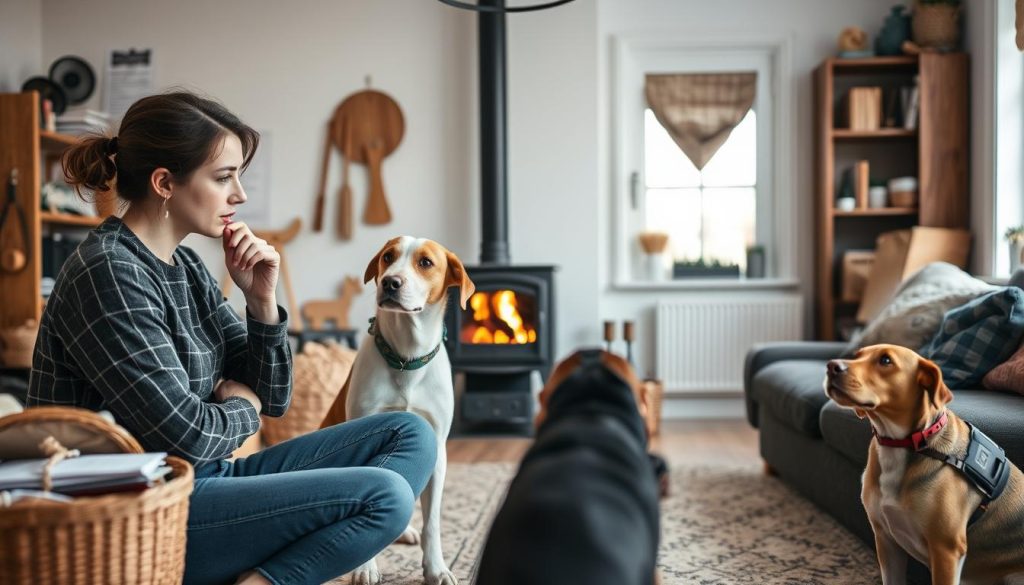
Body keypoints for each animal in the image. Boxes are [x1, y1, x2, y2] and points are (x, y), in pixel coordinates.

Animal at [823, 344, 1024, 585]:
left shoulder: (947, 550)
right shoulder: (886, 541)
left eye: (885, 360)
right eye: (857, 356)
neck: (904, 443)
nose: (831, 366)